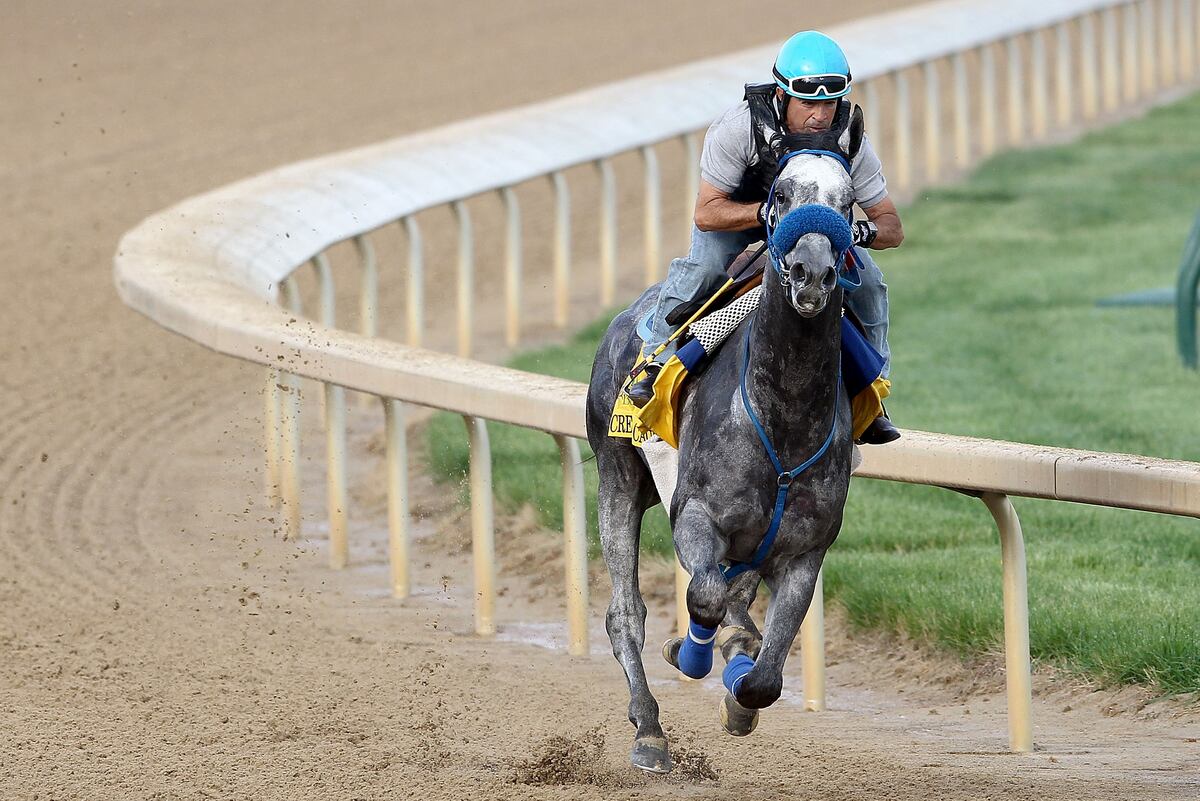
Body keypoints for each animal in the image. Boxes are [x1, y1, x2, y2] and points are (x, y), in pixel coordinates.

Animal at [584, 129, 861, 774]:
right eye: (781, 192)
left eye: (847, 201)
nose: (812, 272)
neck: (782, 420)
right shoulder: (696, 514)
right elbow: (703, 597)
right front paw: (689, 654)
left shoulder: (805, 549)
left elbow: (764, 675)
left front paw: (740, 696)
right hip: (617, 474)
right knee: (626, 613)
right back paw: (650, 729)